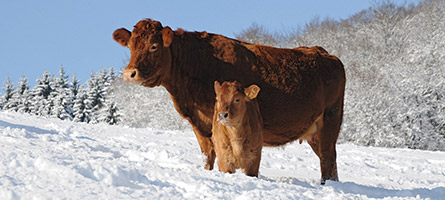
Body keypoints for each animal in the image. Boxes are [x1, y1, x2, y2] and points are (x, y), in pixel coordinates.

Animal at [112, 18, 346, 184]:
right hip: (314, 131)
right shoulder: (199, 123)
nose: (130, 73)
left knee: (327, 159)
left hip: (330, 119)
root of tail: (324, 53)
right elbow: (207, 155)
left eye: (153, 46)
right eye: (130, 46)